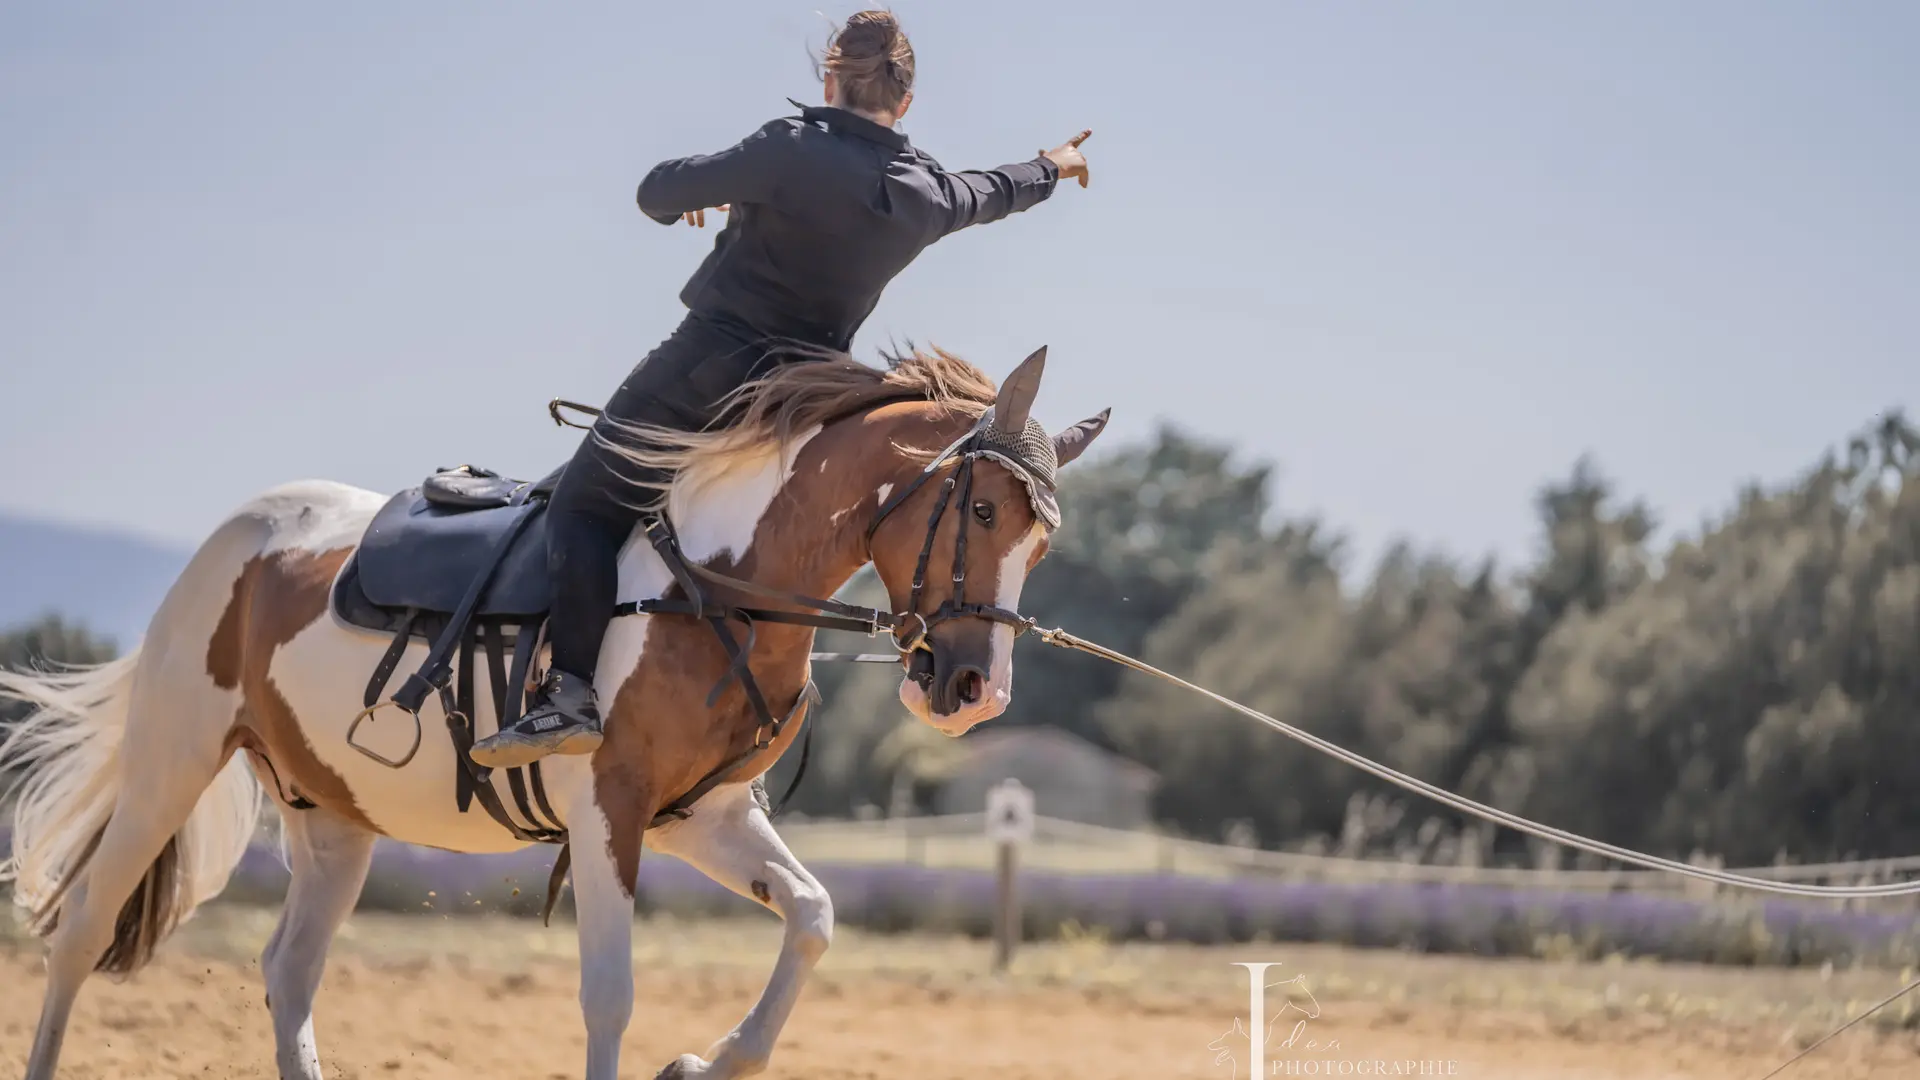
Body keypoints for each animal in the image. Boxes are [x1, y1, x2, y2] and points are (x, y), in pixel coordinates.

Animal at [0, 344, 1110, 1080]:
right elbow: (609, 995)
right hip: (172, 761)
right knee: (83, 930)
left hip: (333, 822)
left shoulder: (705, 815)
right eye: (979, 511)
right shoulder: (609, 812)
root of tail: (245, 527)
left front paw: (706, 1064)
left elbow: (813, 916)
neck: (710, 585)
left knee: (289, 973)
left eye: (1043, 544)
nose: (974, 691)